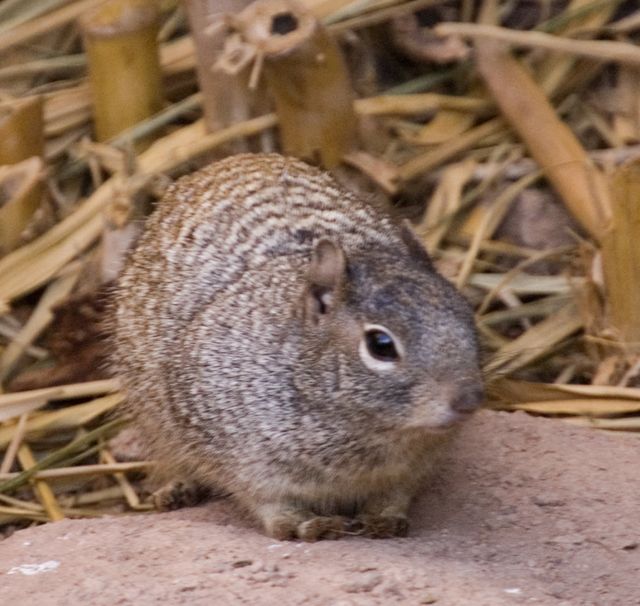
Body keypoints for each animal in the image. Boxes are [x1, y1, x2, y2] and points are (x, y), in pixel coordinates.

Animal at [112, 153, 484, 541]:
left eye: (466, 314)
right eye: (381, 345)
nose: (468, 400)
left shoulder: (415, 466)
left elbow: (395, 495)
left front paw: (384, 519)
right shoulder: (242, 458)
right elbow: (268, 504)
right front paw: (304, 523)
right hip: (153, 419)